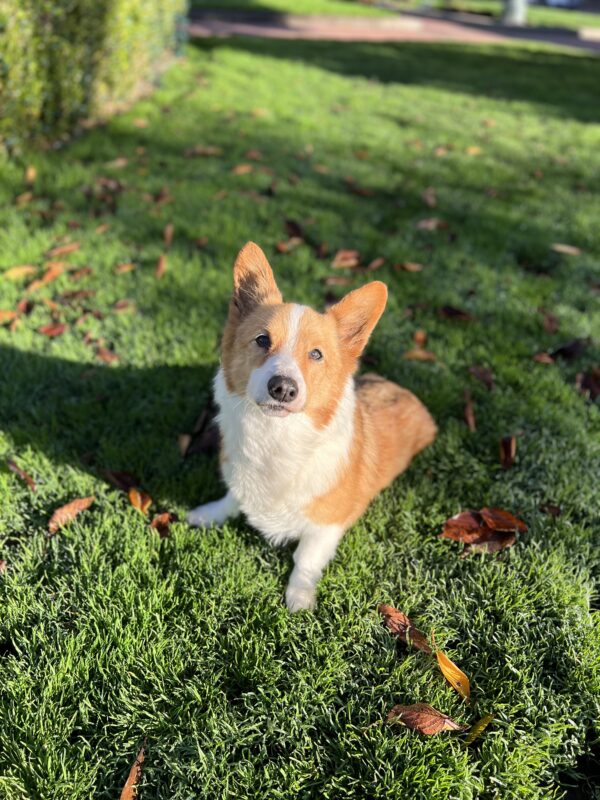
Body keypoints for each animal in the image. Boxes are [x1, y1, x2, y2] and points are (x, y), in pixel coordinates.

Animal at [188, 241, 436, 608]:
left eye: (316, 354)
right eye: (262, 340)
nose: (283, 388)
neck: (274, 436)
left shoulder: (327, 525)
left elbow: (305, 557)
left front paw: (299, 597)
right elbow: (233, 498)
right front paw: (208, 513)